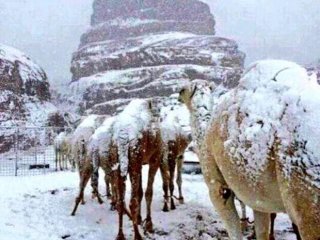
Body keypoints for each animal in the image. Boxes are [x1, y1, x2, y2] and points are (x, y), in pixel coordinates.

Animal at [179, 60, 320, 240]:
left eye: (182, 90)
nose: (177, 95)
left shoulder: (216, 185)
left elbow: (234, 229)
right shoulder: (257, 195)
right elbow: (262, 230)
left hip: (304, 186)